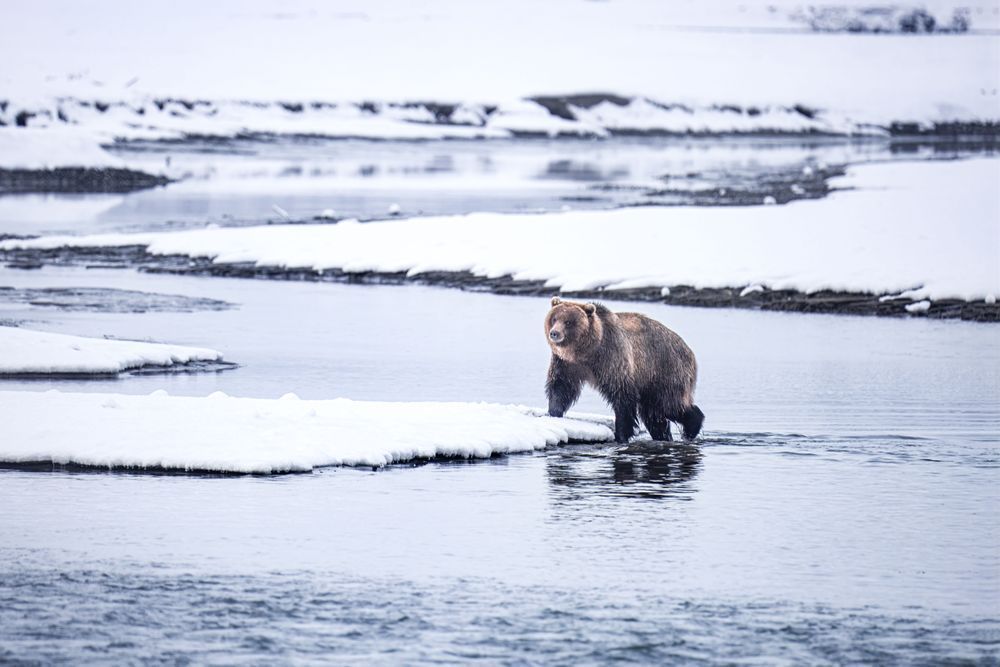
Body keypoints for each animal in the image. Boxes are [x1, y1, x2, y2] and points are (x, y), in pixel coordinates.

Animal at [544, 296, 704, 444]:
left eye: (568, 322)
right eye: (554, 318)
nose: (554, 333)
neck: (587, 352)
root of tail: (690, 351)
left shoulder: (612, 359)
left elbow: (622, 396)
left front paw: (620, 434)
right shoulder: (567, 364)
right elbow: (561, 387)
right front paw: (553, 414)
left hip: (666, 370)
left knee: (668, 405)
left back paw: (691, 428)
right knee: (653, 414)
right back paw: (663, 436)